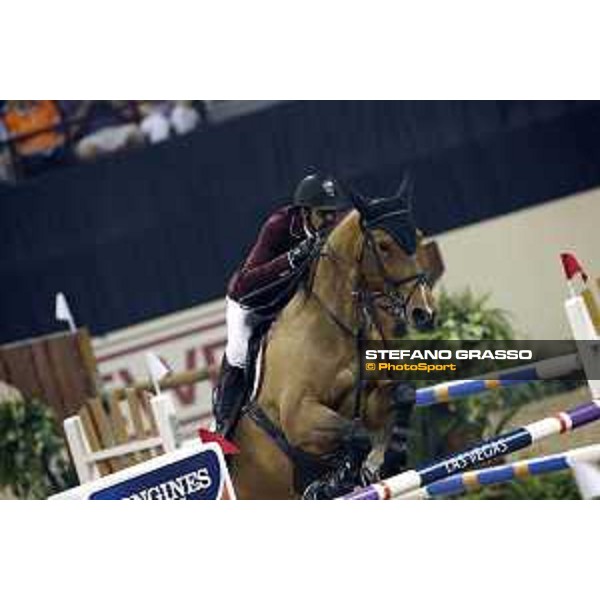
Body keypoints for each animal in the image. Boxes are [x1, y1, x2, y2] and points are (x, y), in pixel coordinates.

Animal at [228, 188, 439, 499]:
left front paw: (393, 459)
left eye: (418, 235)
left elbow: (403, 395)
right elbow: (357, 435)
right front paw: (336, 481)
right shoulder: (300, 418)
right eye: (383, 245)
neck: (336, 327)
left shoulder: (369, 401)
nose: (424, 313)